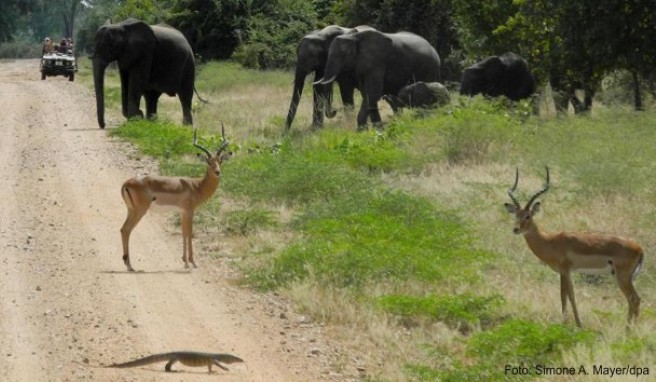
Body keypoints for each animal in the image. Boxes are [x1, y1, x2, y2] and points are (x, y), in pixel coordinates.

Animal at [121, 126, 233, 272]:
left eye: (220, 161)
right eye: (209, 162)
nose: (218, 172)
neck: (197, 186)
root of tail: (126, 184)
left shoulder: (182, 212)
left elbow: (183, 233)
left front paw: (185, 261)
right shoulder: (189, 211)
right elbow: (189, 233)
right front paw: (192, 263)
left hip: (130, 210)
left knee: (122, 229)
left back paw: (127, 264)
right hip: (139, 211)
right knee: (127, 230)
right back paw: (130, 266)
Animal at [504, 166, 644, 326]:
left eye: (528, 216)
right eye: (517, 215)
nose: (516, 229)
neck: (551, 241)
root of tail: (639, 248)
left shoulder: (565, 270)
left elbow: (567, 295)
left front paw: (572, 323)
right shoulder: (563, 272)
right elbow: (566, 294)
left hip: (622, 277)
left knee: (635, 299)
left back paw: (629, 329)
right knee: (632, 300)